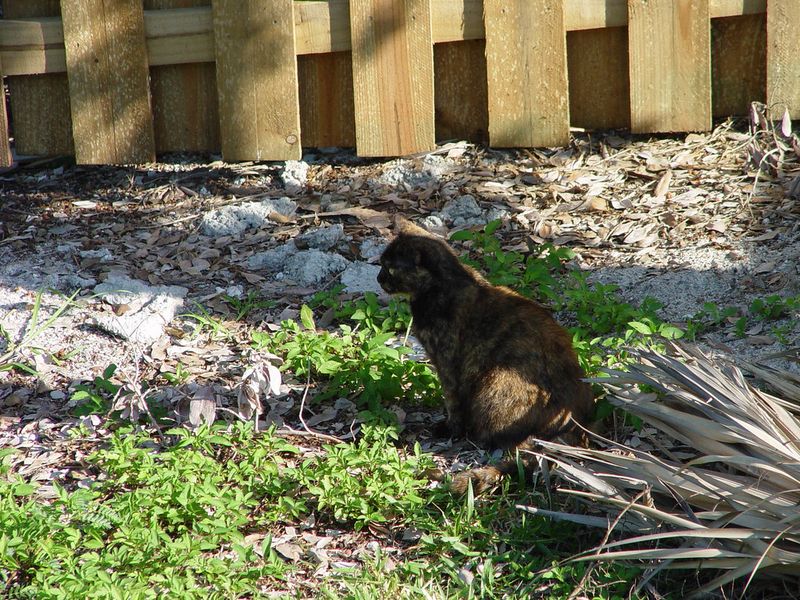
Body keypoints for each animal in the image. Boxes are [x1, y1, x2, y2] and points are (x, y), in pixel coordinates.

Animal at [376, 217, 592, 492]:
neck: (442, 286)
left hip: (496, 379)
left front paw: (450, 429)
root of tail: (575, 416)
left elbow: (452, 401)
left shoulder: (447, 363)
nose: (378, 278)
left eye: (390, 268)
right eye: (382, 265)